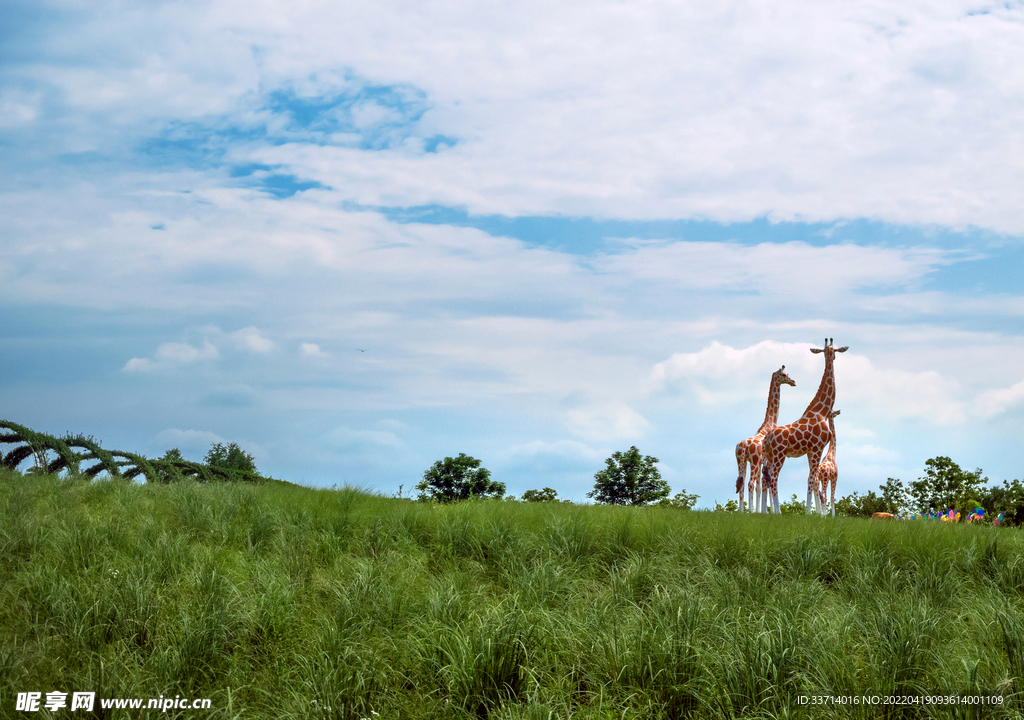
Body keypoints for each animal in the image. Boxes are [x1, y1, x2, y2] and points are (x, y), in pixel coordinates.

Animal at [733, 366, 794, 512]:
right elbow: (766, 483)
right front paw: (768, 511)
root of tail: (743, 446)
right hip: (753, 462)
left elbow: (760, 486)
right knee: (750, 483)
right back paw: (749, 511)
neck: (769, 425)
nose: (793, 382)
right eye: (784, 374)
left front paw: (761, 511)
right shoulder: (765, 461)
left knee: (741, 483)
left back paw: (742, 512)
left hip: (741, 461)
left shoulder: (761, 463)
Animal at [761, 340, 847, 516]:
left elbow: (812, 480)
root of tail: (766, 439)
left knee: (766, 479)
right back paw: (778, 512)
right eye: (834, 351)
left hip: (770, 456)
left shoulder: (809, 451)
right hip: (780, 455)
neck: (821, 411)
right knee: (773, 478)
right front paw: (811, 513)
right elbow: (811, 479)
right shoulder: (817, 448)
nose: (833, 356)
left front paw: (819, 514)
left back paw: (767, 512)